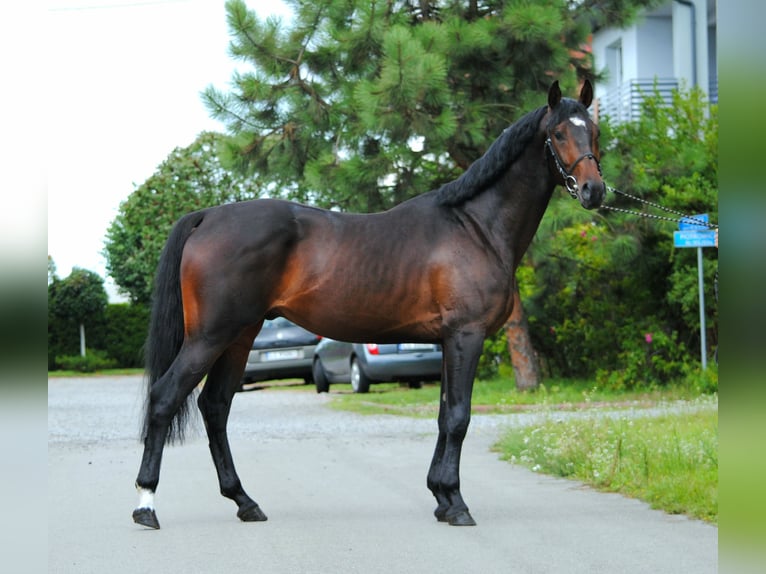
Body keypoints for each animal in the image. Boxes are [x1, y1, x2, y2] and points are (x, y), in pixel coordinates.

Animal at [135, 80, 608, 532]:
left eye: (594, 131)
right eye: (558, 133)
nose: (594, 190)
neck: (475, 226)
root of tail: (208, 217)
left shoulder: (446, 342)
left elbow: (442, 414)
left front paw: (441, 496)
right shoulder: (465, 335)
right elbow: (458, 416)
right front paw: (457, 505)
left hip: (239, 337)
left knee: (215, 406)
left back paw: (244, 502)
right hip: (210, 337)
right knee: (165, 398)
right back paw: (146, 505)